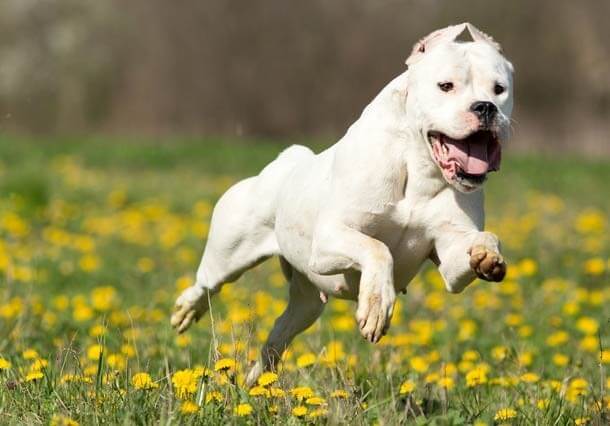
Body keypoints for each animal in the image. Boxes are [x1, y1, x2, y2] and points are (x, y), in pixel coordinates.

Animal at [171, 22, 512, 382]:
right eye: (446, 86)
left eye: (499, 89)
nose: (485, 107)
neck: (419, 167)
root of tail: (284, 162)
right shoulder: (328, 240)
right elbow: (378, 249)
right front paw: (376, 306)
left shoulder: (449, 259)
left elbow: (479, 243)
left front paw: (487, 255)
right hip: (230, 254)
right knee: (207, 284)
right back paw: (186, 311)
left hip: (307, 303)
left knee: (280, 333)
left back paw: (258, 381)